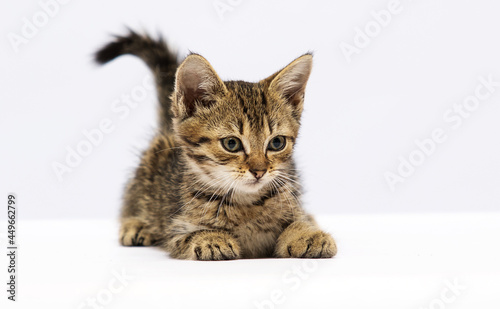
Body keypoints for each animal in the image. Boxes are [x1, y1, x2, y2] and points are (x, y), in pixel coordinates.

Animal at [94, 30, 336, 260]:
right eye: (231, 143)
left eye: (277, 142)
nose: (259, 171)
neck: (247, 202)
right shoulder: (176, 227)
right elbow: (190, 235)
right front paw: (212, 239)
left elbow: (299, 221)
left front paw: (308, 235)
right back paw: (136, 225)